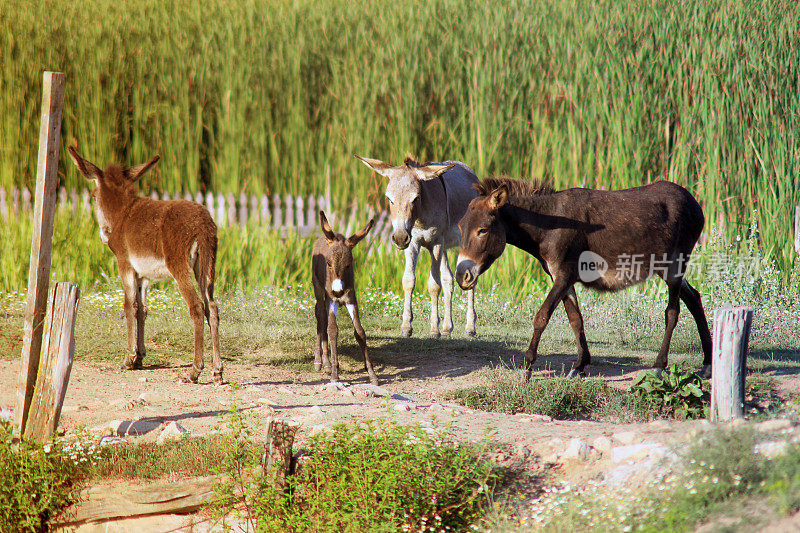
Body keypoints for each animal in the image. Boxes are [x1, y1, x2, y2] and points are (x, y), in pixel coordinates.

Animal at [66, 143, 220, 380]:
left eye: (92, 196)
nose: (104, 236)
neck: (123, 213)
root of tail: (202, 223)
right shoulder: (143, 275)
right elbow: (142, 309)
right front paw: (139, 358)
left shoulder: (125, 264)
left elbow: (129, 306)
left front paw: (128, 360)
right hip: (205, 267)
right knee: (212, 307)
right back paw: (218, 371)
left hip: (179, 266)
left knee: (196, 306)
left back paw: (195, 371)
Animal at [310, 211, 376, 382]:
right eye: (328, 263)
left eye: (348, 265)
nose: (337, 291)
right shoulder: (332, 300)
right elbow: (332, 330)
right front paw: (334, 375)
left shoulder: (351, 299)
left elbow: (360, 332)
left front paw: (372, 374)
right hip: (319, 290)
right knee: (321, 317)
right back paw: (320, 361)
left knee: (323, 318)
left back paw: (327, 362)